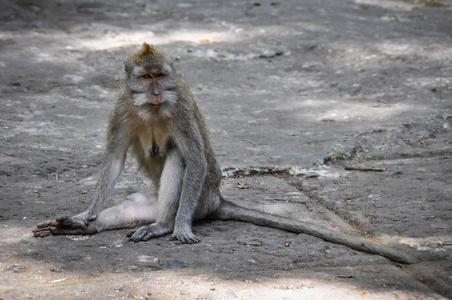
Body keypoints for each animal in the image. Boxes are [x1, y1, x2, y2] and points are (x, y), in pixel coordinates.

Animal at [33, 42, 414, 264]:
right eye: (145, 77)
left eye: (160, 76)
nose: (155, 92)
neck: (151, 109)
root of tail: (217, 200)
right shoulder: (121, 108)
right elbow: (113, 163)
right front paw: (85, 216)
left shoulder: (181, 109)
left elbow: (195, 159)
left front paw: (180, 228)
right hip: (149, 202)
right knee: (131, 208)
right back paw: (81, 228)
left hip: (198, 201)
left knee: (180, 159)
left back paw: (163, 226)